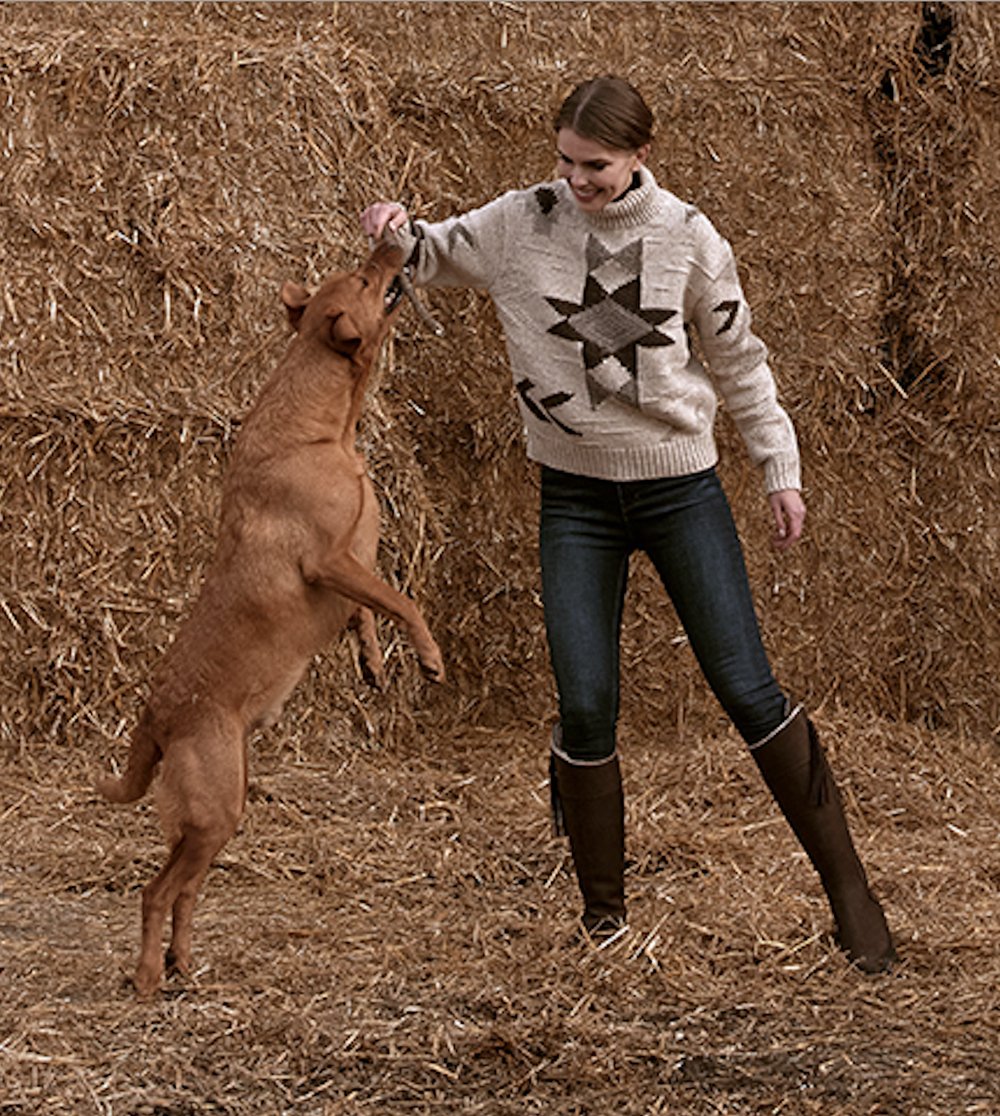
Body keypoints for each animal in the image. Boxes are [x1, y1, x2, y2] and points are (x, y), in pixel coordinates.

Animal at [97, 240, 444, 999]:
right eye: (369, 277)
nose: (394, 239)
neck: (320, 429)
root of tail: (155, 717)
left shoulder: (352, 568)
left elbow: (368, 613)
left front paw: (374, 663)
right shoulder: (330, 560)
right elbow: (401, 600)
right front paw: (428, 654)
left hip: (216, 810)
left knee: (186, 891)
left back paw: (184, 964)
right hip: (213, 807)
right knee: (157, 891)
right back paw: (148, 977)